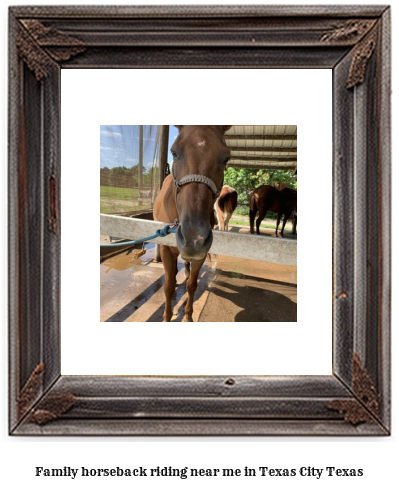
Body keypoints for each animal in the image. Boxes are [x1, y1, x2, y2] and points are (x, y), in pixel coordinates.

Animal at [155, 125, 233, 320]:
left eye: (226, 158)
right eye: (174, 153)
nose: (194, 239)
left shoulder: (201, 254)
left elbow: (192, 285)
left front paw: (188, 316)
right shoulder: (166, 248)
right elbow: (168, 286)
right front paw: (167, 317)